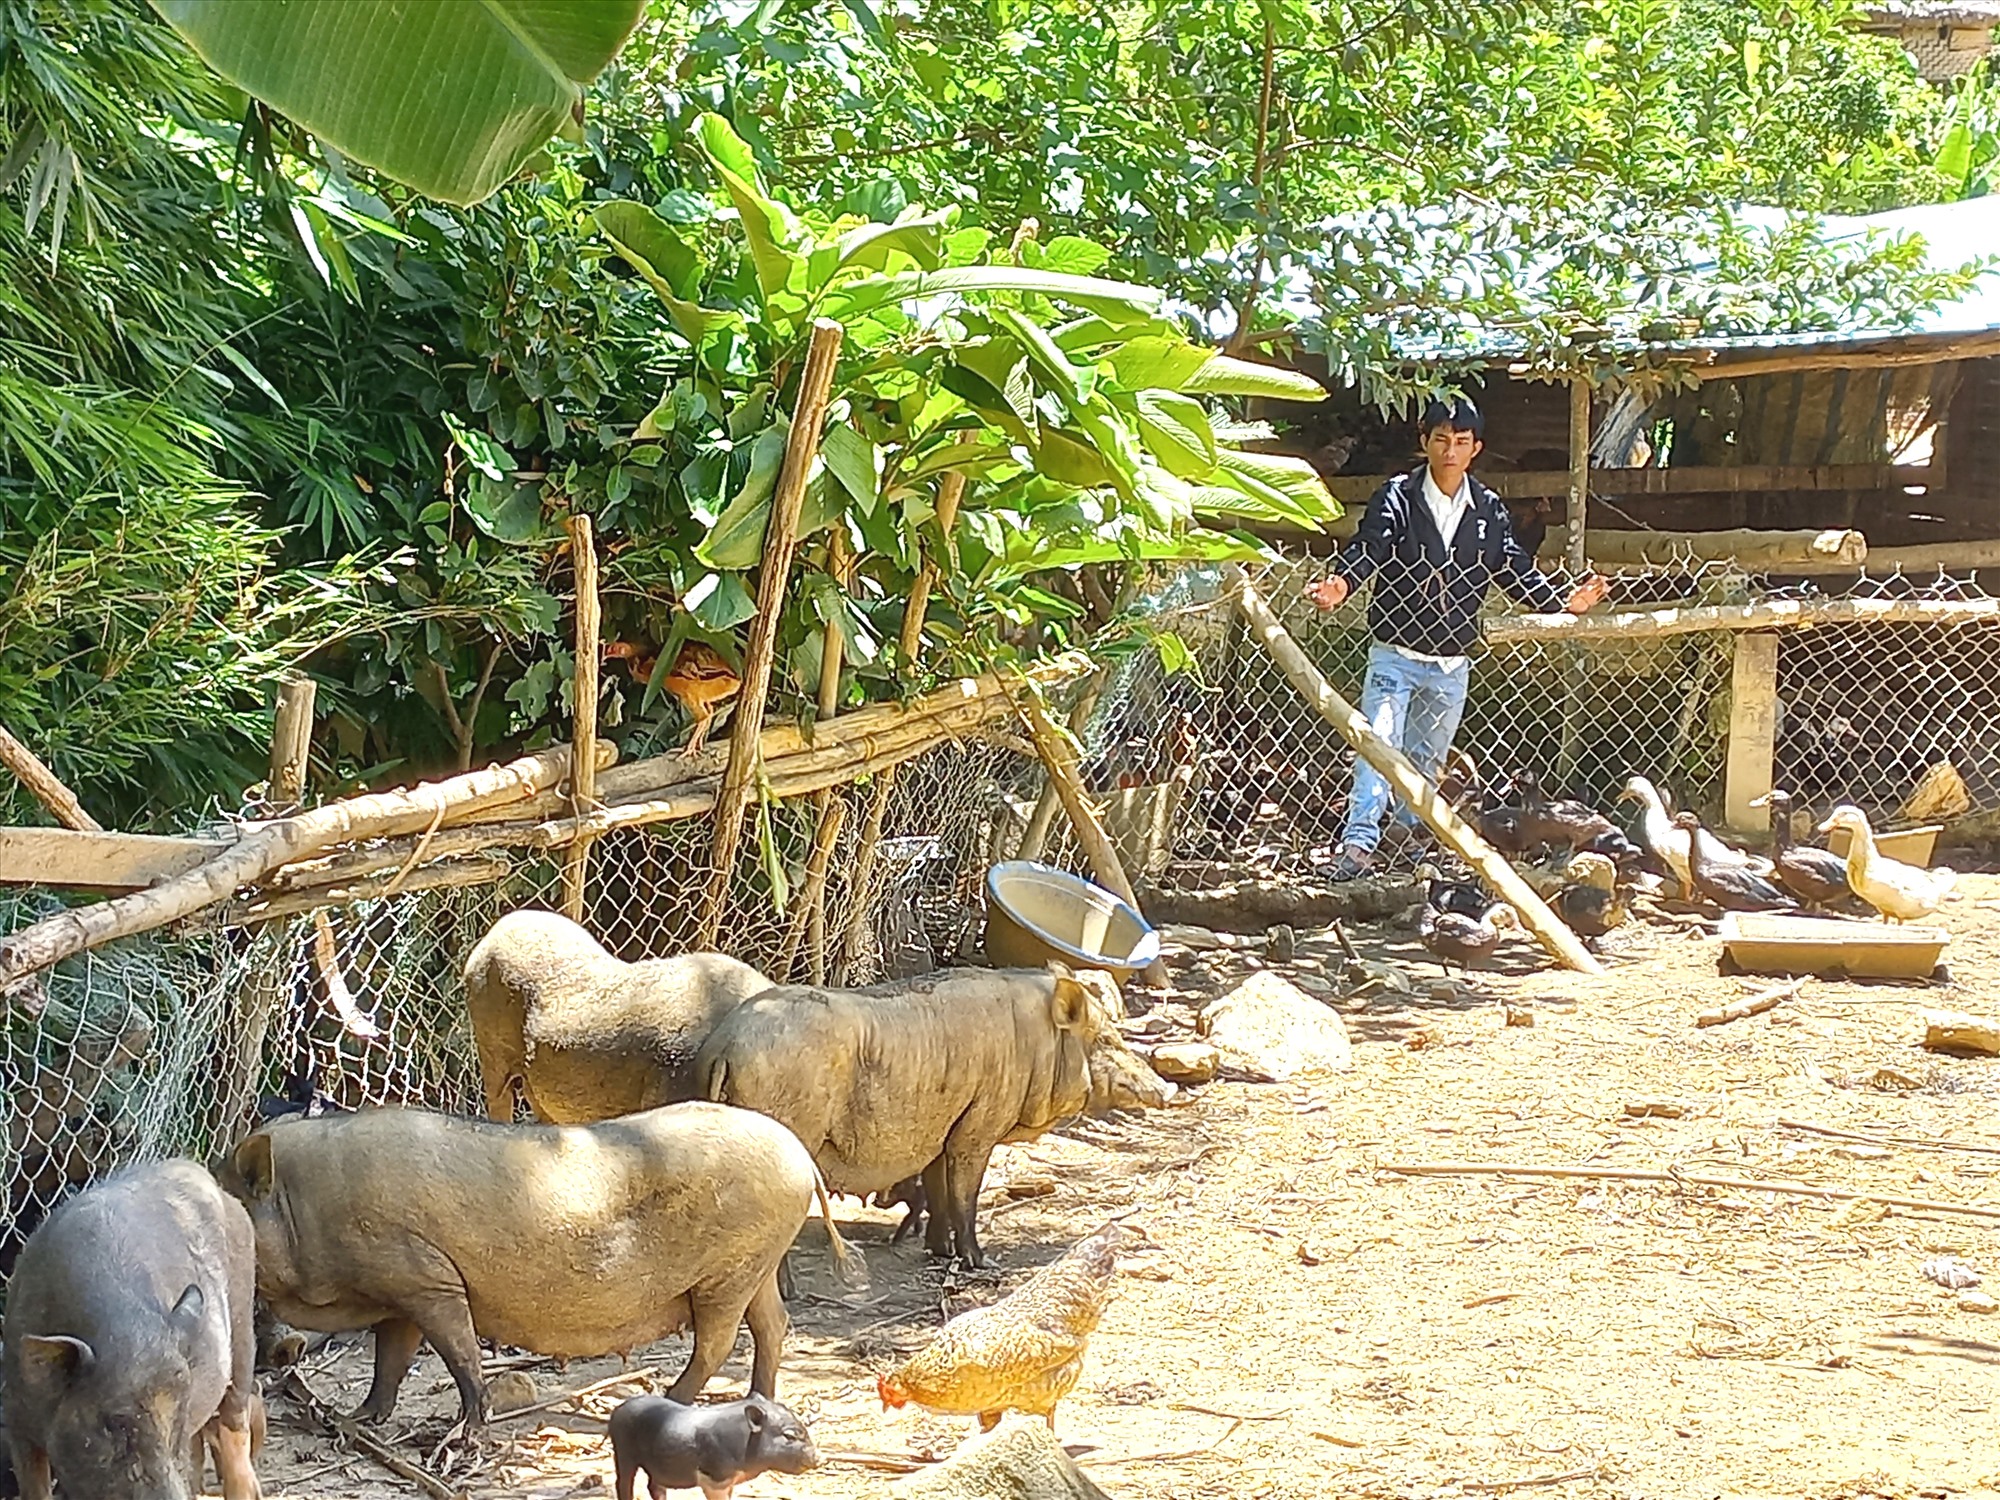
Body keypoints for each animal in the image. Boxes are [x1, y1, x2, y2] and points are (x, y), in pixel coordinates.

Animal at [1, 1160, 264, 1500]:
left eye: (177, 1415)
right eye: (116, 1422)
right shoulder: (16, 1418)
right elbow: (34, 1486)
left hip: (243, 1325)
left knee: (235, 1420)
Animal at [223, 1104, 856, 1432]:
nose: (281, 1348)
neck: (305, 1203)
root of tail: (800, 1155)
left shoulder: (428, 1279)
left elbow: (458, 1351)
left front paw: (469, 1426)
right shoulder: (406, 1287)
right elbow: (391, 1358)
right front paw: (359, 1420)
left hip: (729, 1270)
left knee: (720, 1341)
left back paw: (668, 1402)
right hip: (757, 1264)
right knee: (773, 1325)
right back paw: (759, 1402)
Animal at [604, 1392, 816, 1500]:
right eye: (789, 1435)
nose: (818, 1457)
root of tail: (617, 1410)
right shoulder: (714, 1479)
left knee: (655, 1486)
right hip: (623, 1450)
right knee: (623, 1483)